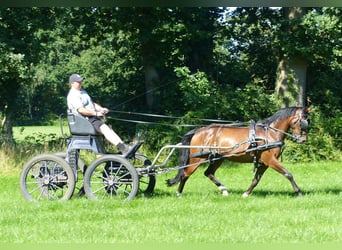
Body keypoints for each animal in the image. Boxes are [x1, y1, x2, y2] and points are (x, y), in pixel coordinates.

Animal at [167, 106, 308, 198]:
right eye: (303, 121)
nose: (303, 139)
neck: (270, 133)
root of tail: (198, 131)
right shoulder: (270, 160)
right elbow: (288, 174)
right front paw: (299, 192)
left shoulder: (264, 163)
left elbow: (256, 180)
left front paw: (246, 193)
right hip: (197, 159)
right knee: (185, 174)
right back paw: (179, 193)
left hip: (218, 158)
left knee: (208, 173)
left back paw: (224, 190)